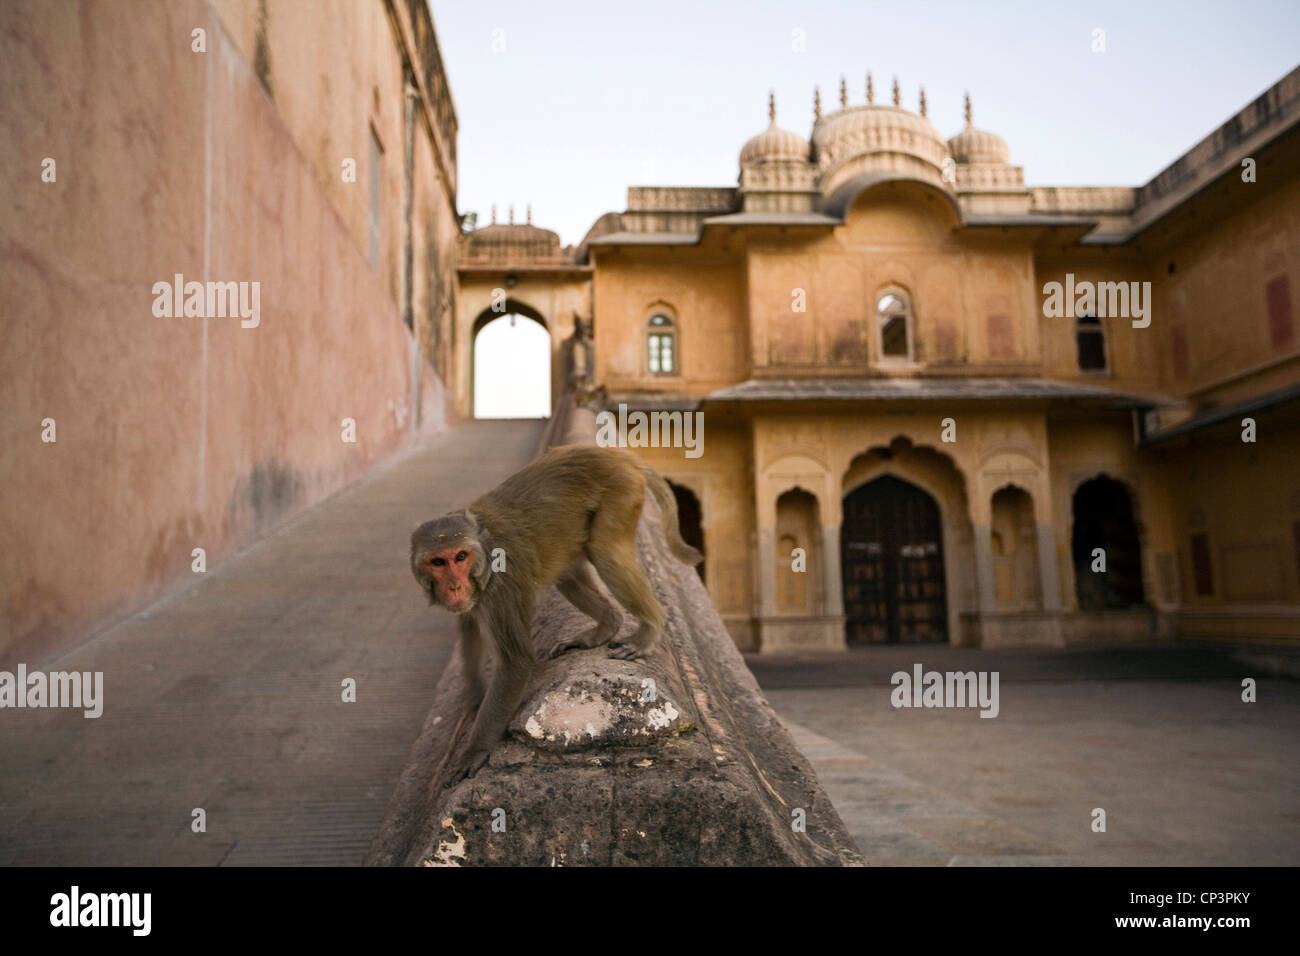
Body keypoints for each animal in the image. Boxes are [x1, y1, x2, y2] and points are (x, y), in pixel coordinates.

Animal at [410, 444, 707, 780]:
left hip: (621, 491)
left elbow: (514, 664)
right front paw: (473, 693)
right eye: (438, 562)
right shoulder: (477, 598)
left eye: (460, 556)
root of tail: (620, 456)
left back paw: (649, 630)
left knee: (604, 552)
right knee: (569, 573)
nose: (455, 586)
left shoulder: (500, 587)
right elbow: (470, 628)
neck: (483, 552)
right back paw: (605, 627)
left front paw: (474, 750)